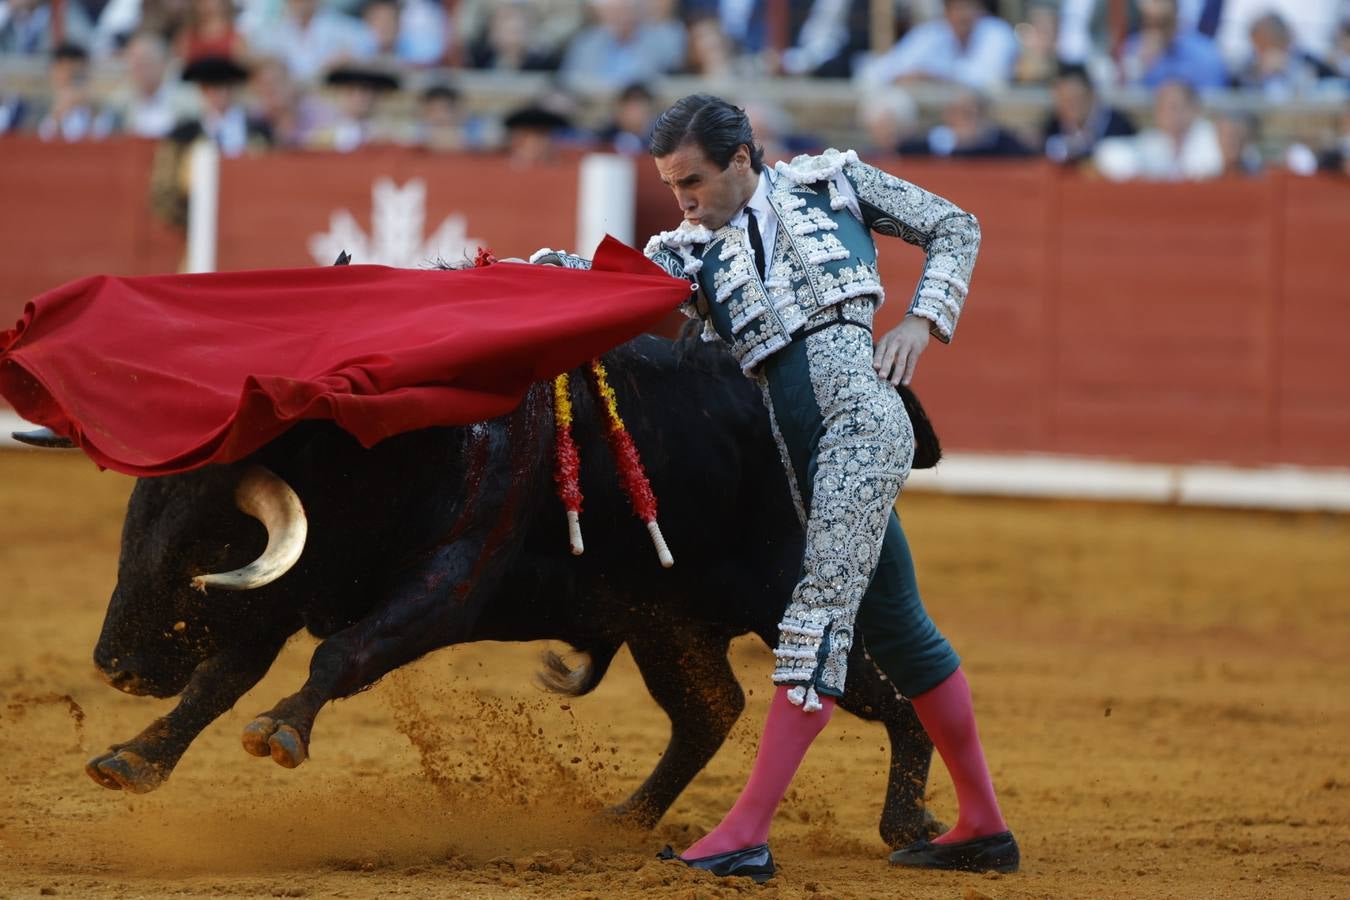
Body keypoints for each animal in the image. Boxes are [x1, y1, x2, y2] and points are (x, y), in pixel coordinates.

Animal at [15, 329, 939, 847]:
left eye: (212, 534)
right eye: (138, 520)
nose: (116, 664)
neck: (369, 451)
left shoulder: (446, 587)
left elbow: (342, 654)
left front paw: (278, 732)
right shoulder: (283, 590)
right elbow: (217, 678)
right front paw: (133, 758)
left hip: (789, 601)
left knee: (884, 692)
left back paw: (909, 827)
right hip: (666, 625)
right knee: (711, 709)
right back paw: (620, 823)